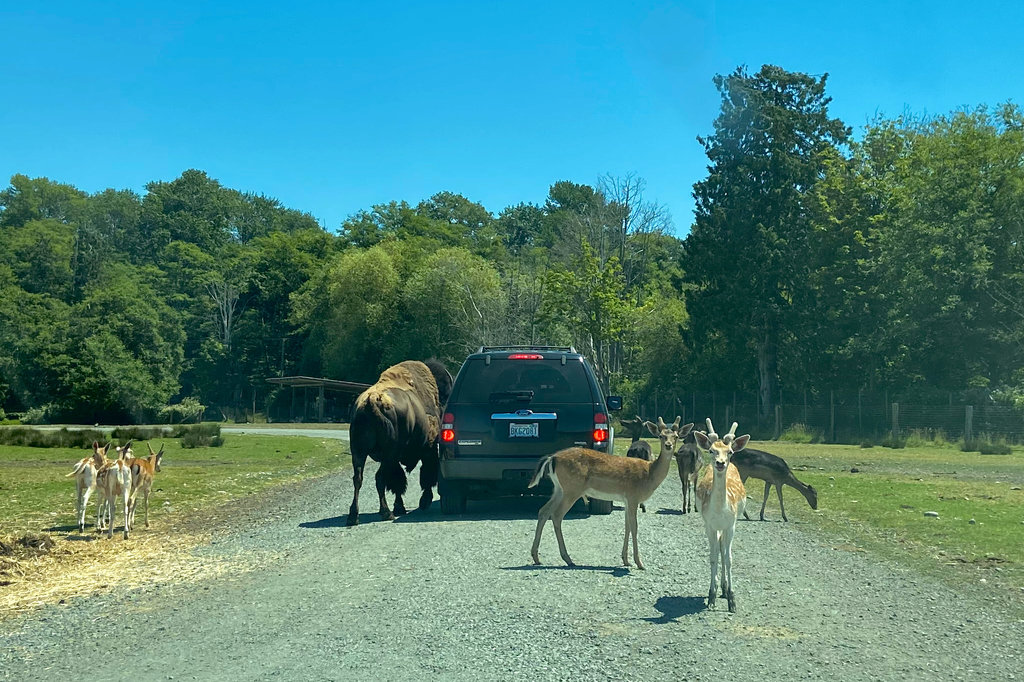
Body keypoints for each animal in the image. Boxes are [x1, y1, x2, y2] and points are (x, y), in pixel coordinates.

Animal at [348, 358, 452, 522]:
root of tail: (372, 400)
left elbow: (399, 480)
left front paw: (400, 507)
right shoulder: (428, 449)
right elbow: (425, 474)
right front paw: (424, 501)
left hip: (358, 451)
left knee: (358, 478)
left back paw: (353, 516)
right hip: (388, 454)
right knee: (380, 478)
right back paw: (386, 513)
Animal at [528, 413, 696, 569]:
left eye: (676, 436)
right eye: (661, 436)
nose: (668, 445)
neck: (649, 474)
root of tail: (552, 458)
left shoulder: (627, 500)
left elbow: (627, 526)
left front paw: (626, 560)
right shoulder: (633, 496)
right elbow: (634, 527)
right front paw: (639, 563)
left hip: (559, 489)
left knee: (543, 511)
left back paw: (536, 557)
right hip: (572, 488)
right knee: (556, 515)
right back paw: (568, 559)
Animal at [692, 417, 749, 614]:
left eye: (729, 451)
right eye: (711, 450)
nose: (720, 462)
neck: (719, 511)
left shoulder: (731, 524)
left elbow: (729, 558)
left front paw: (732, 600)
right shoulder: (709, 524)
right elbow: (712, 556)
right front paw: (711, 597)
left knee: (724, 549)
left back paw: (724, 589)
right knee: (719, 548)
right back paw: (719, 589)